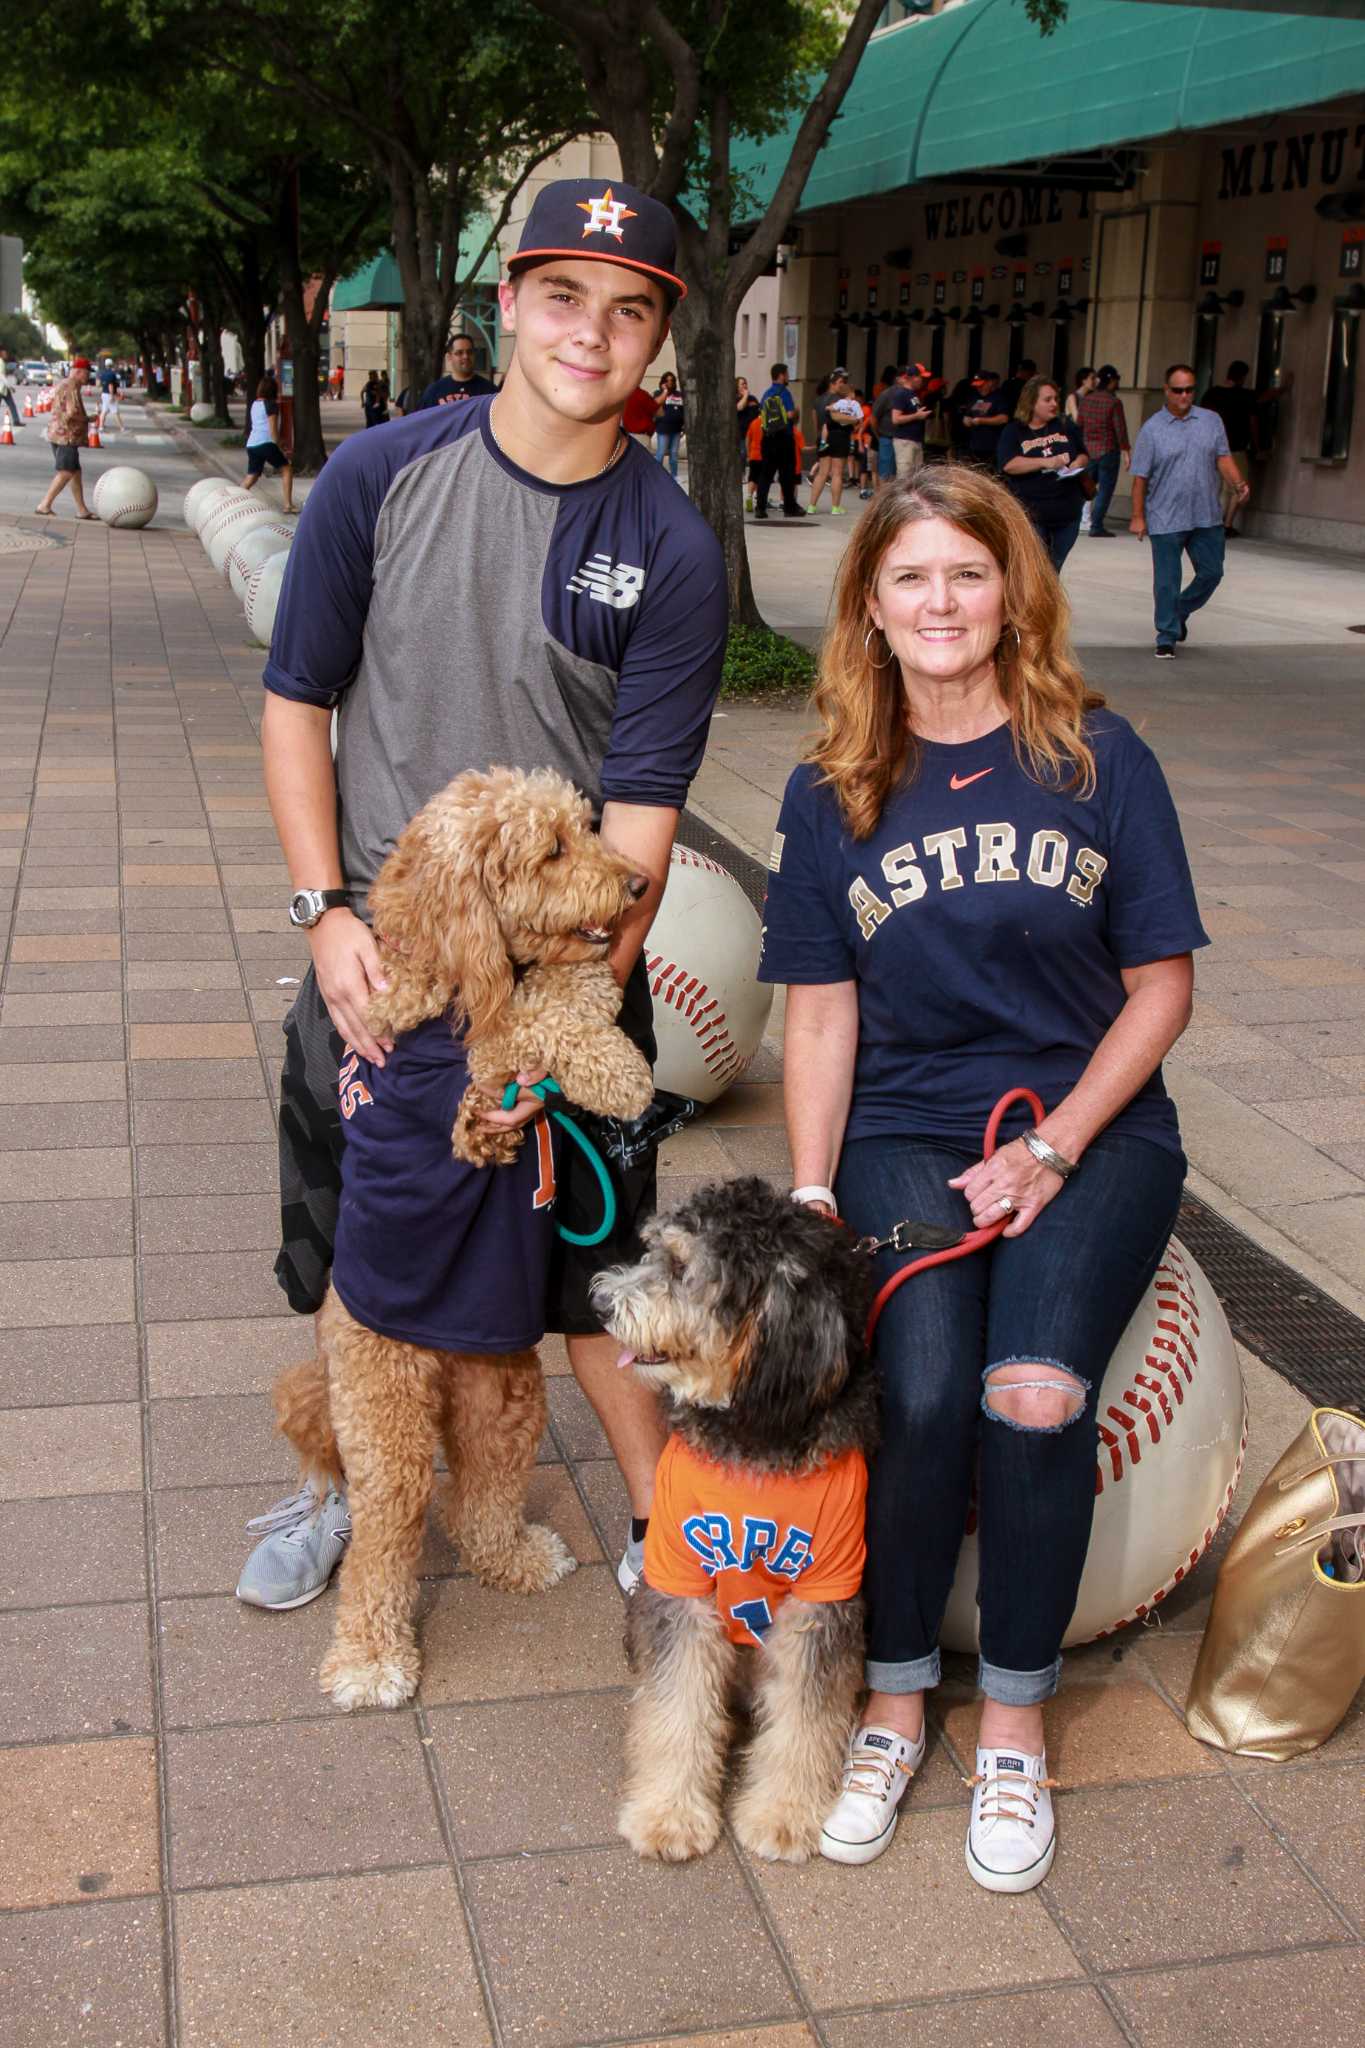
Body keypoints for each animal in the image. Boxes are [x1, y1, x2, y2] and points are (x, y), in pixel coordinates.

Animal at [274, 770, 654, 1712]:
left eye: (586, 826)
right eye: (550, 849)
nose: (636, 885)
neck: (453, 966)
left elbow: (554, 991)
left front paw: (590, 990)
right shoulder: (476, 1068)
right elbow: (530, 1023)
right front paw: (617, 1068)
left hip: (505, 1393)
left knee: (475, 1500)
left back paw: (512, 1557)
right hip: (390, 1417)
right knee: (387, 1539)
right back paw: (370, 1660)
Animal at [593, 1179, 875, 1867]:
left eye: (679, 1267)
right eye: (651, 1248)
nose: (601, 1303)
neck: (753, 1439)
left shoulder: (824, 1598)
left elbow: (806, 1718)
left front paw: (785, 1815)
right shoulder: (680, 1582)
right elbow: (676, 1707)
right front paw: (668, 1814)